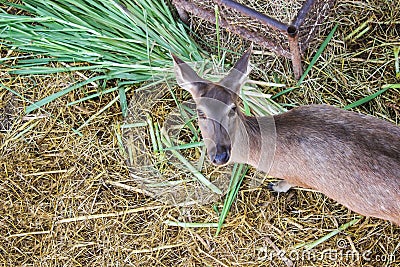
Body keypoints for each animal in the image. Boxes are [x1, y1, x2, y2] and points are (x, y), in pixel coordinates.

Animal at [172, 46, 400, 226]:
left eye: (233, 108)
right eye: (200, 112)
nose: (220, 155)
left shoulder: (299, 176)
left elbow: (289, 182)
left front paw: (276, 186)